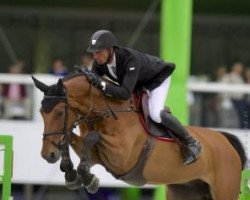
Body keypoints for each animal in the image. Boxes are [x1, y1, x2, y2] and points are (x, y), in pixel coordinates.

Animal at [32, 70, 246, 200]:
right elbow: (70, 138)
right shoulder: (95, 156)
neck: (107, 112)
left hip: (224, 191)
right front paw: (71, 174)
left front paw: (89, 179)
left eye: (59, 113)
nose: (47, 155)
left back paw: (193, 148)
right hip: (185, 189)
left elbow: (92, 137)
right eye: (41, 112)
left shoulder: (122, 157)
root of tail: (225, 140)